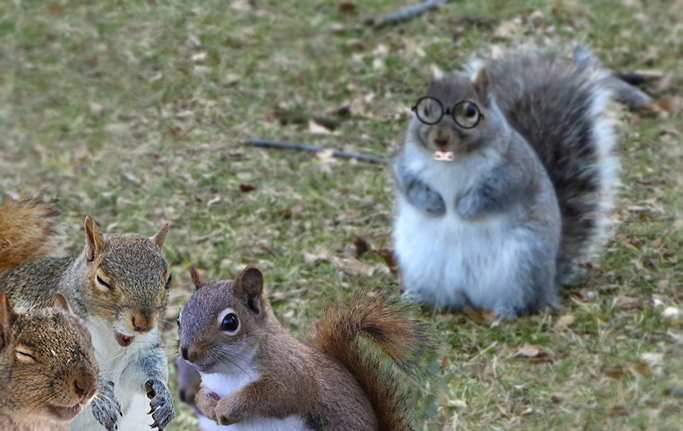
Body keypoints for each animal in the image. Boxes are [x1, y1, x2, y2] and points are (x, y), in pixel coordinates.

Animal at [178, 264, 438, 430]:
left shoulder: (294, 376)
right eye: (180, 317)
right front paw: (206, 405)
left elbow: (271, 395)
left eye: (230, 322)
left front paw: (226, 407)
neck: (227, 375)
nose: (187, 352)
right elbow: (201, 395)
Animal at [390, 45, 652, 318]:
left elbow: (496, 193)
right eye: (424, 110)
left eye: (470, 112)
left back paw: (504, 312)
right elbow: (407, 184)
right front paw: (433, 204)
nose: (440, 138)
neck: (450, 158)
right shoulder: (405, 163)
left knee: (525, 299)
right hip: (419, 262)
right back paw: (414, 298)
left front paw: (464, 209)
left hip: (523, 262)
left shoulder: (514, 170)